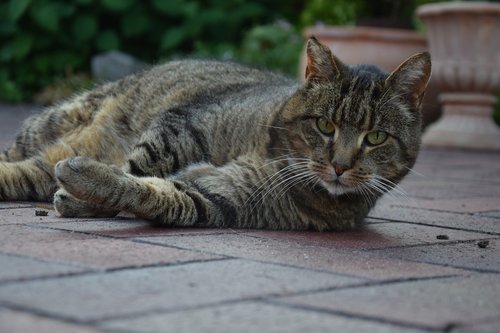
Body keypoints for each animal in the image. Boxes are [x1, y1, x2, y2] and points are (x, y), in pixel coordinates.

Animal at [0, 37, 430, 230]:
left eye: (376, 138)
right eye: (325, 125)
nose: (340, 166)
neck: (273, 155)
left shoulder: (215, 198)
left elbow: (151, 192)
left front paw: (84, 191)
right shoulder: (182, 126)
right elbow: (140, 164)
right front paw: (82, 194)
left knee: (30, 173)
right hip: (47, 125)